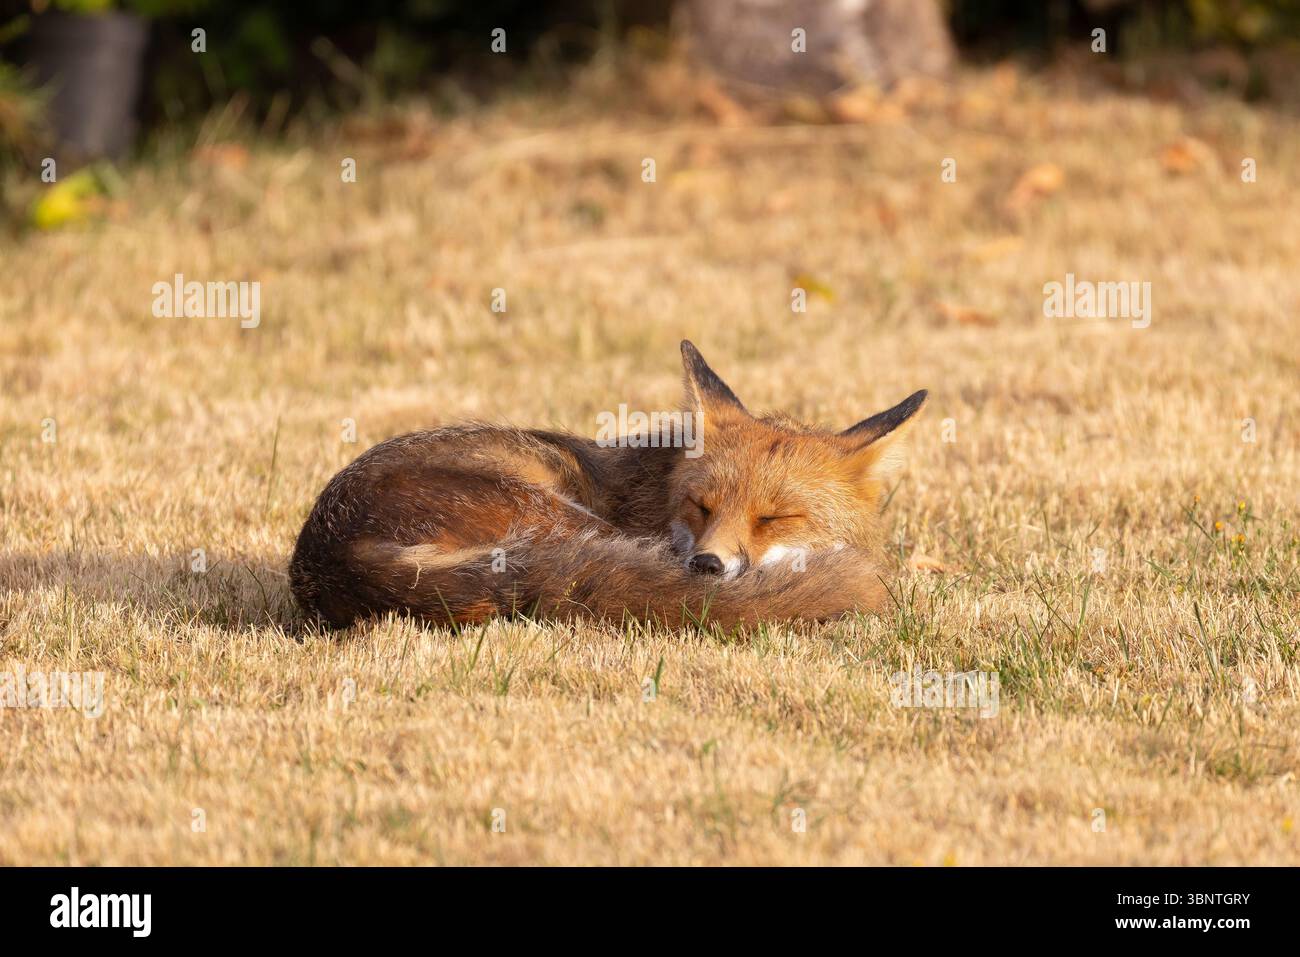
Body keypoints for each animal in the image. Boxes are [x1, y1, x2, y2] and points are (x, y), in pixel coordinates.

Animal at [289, 341, 926, 631]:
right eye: (701, 506)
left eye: (775, 518)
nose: (707, 566)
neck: (656, 490)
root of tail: (330, 552)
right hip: (557, 511)